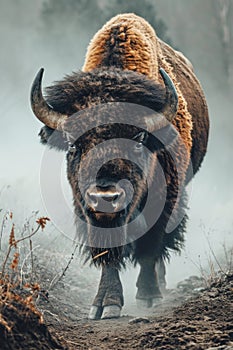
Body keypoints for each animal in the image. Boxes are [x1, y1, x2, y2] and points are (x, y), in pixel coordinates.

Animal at [30, 14, 208, 320]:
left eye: (138, 141)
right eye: (73, 146)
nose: (106, 197)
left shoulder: (166, 199)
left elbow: (150, 246)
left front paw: (148, 296)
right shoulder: (88, 209)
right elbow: (107, 252)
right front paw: (105, 304)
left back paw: (159, 286)